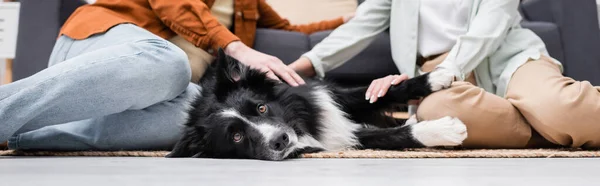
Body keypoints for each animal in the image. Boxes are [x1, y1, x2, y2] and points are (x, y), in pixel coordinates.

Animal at [166, 49, 466, 160]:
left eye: (261, 108)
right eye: (237, 137)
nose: (281, 140)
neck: (301, 124)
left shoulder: (323, 96)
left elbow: (373, 93)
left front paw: (436, 77)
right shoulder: (340, 136)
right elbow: (390, 135)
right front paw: (445, 129)